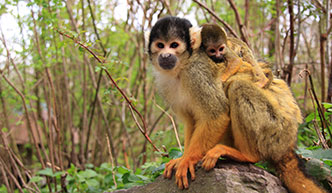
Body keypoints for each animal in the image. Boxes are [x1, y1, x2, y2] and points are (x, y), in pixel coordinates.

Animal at [147, 16, 326, 193]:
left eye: (174, 45)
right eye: (160, 45)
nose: (165, 56)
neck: (182, 67)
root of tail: (288, 146)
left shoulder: (197, 72)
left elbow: (217, 115)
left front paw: (187, 160)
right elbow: (192, 120)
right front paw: (182, 158)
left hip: (276, 132)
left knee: (238, 87)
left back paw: (246, 155)